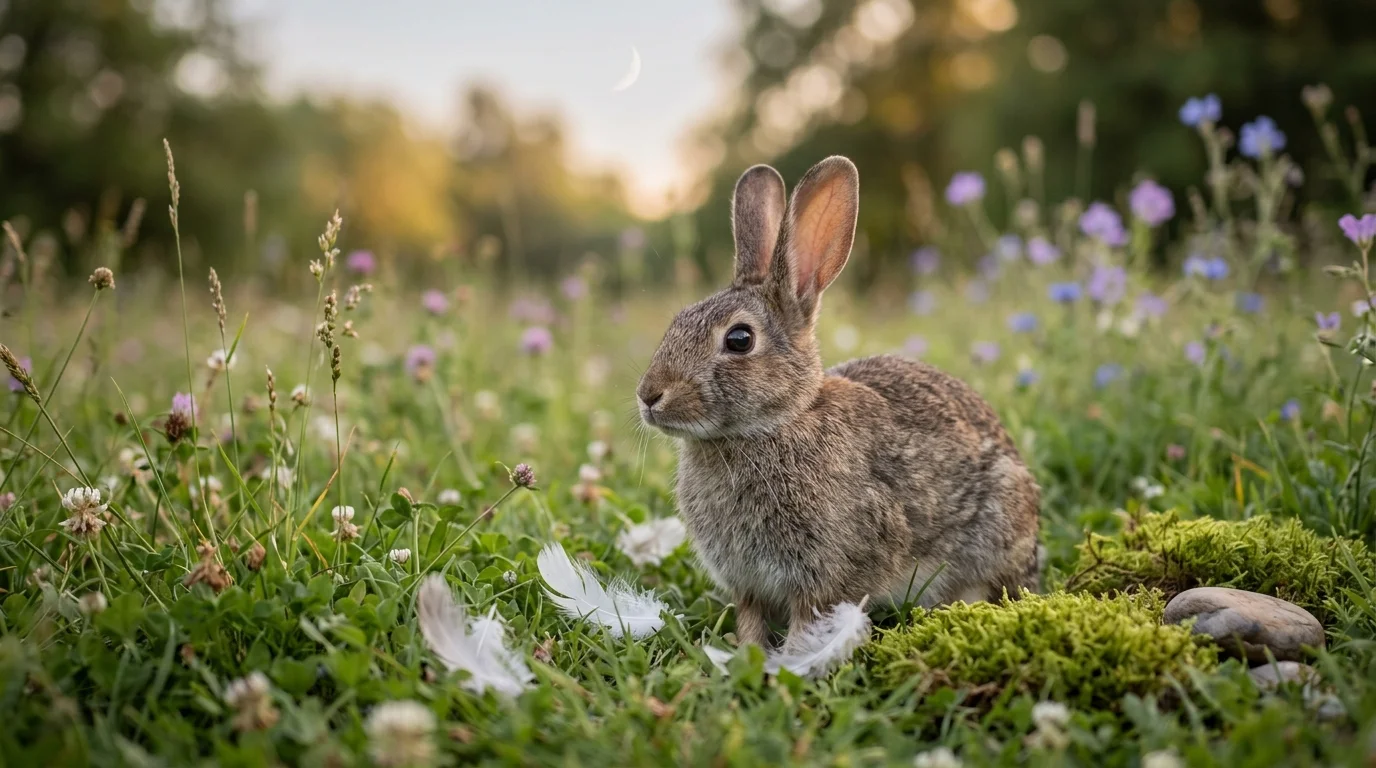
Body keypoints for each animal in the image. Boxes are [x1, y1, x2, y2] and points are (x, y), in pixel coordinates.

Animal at [635, 156, 1041, 649]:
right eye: (676, 321)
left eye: (739, 339)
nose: (649, 395)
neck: (776, 423)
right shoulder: (748, 583)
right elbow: (750, 619)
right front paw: (745, 655)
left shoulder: (825, 572)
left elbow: (807, 621)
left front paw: (790, 659)